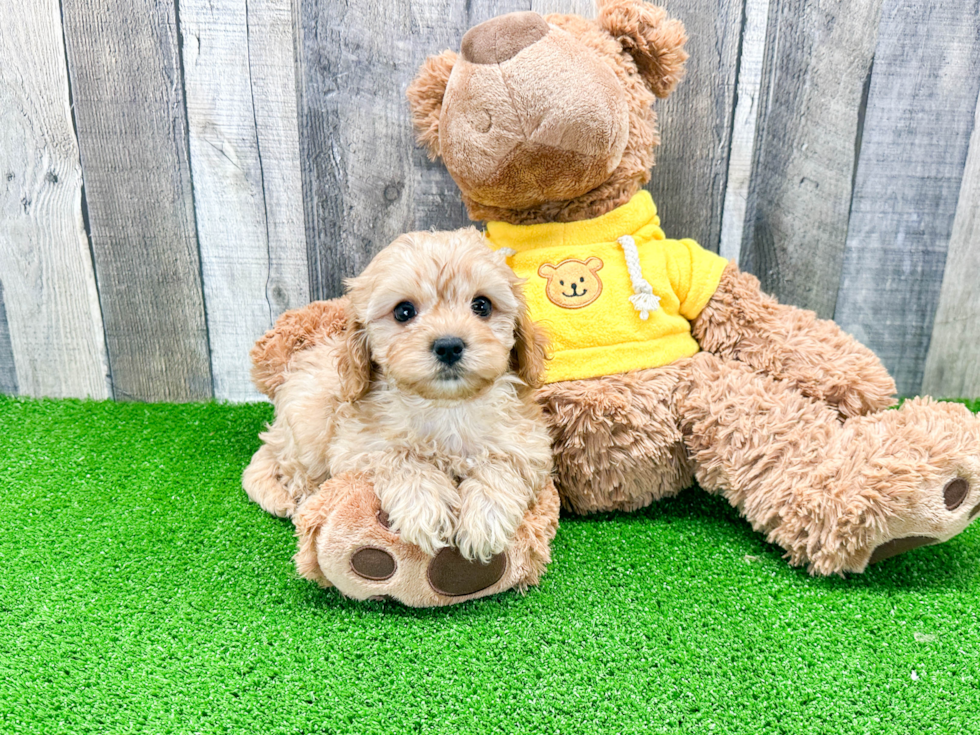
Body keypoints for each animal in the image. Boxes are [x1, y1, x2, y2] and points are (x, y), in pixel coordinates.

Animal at [242, 227, 556, 560]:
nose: (449, 346)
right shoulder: (358, 449)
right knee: (289, 465)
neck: (446, 407)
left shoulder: (528, 446)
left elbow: (501, 466)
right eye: (404, 311)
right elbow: (400, 458)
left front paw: (484, 520)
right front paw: (426, 506)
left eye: (482, 305)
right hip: (308, 423)